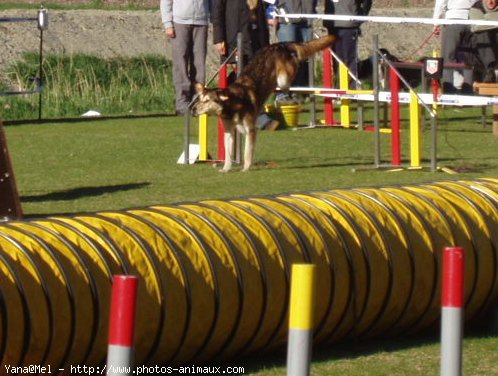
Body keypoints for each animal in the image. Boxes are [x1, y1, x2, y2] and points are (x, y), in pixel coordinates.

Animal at [193, 33, 336, 172]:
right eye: (200, 100)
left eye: (207, 101)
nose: (193, 109)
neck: (232, 105)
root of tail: (280, 44)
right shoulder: (228, 131)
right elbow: (228, 154)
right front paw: (226, 168)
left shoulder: (250, 129)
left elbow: (247, 152)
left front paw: (246, 168)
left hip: (283, 79)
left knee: (295, 64)